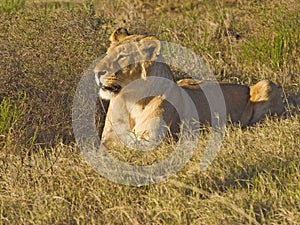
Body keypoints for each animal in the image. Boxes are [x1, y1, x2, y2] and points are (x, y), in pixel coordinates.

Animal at [94, 28, 284, 149]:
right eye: (107, 53)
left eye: (122, 56)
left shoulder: (152, 140)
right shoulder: (107, 138)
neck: (131, 100)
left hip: (267, 84)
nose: (96, 72)